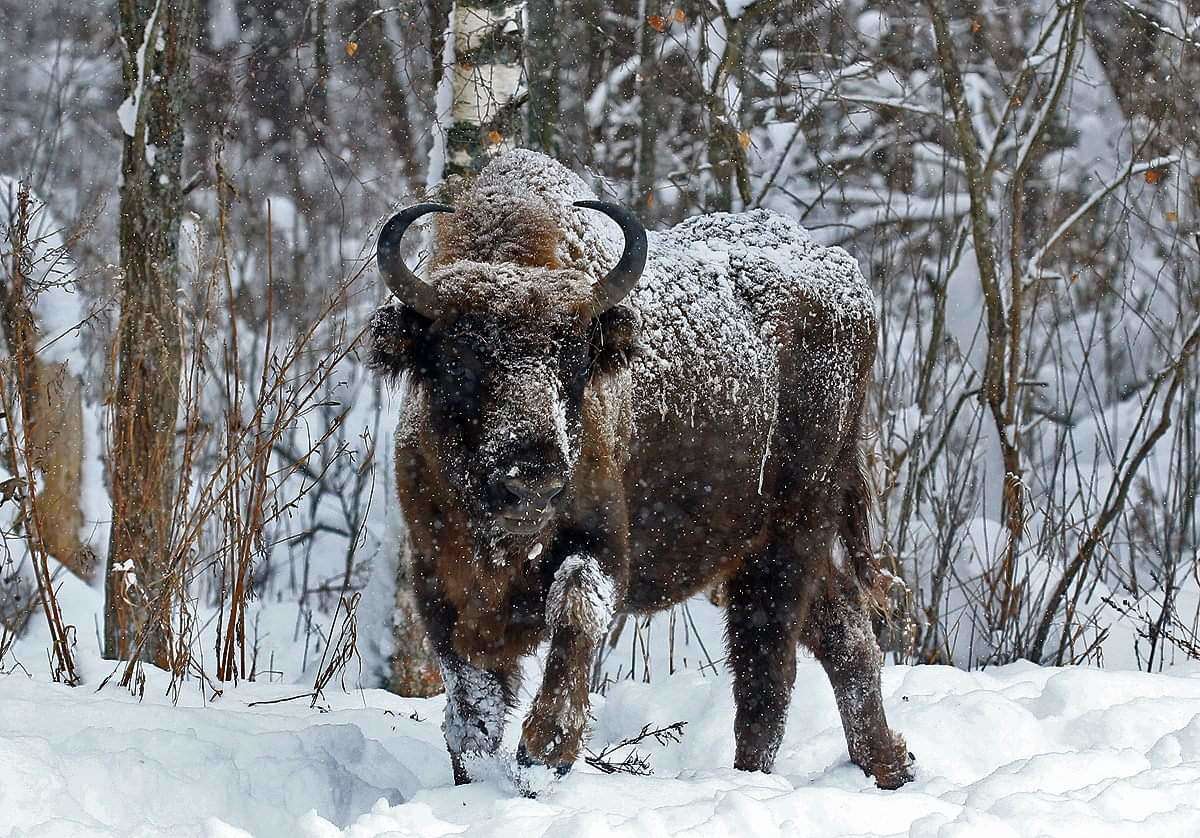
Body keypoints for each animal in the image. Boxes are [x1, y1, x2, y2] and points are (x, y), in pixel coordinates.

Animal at [369, 151, 912, 787]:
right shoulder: (441, 582)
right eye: (458, 360)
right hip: (769, 544)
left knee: (767, 672)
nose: (532, 477)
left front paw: (545, 748)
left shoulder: (601, 545)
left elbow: (577, 610)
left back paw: (758, 774)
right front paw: (475, 773)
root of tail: (848, 282)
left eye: (574, 360)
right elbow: (470, 697)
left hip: (791, 535)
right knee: (843, 633)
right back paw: (888, 765)